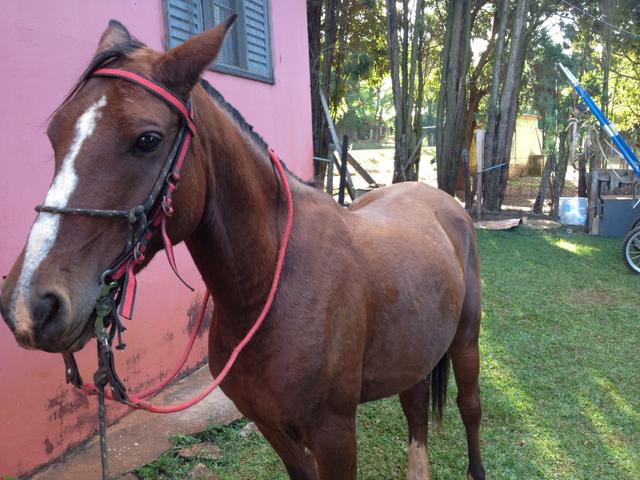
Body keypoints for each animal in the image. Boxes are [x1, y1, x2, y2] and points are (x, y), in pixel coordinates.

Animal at [0, 19, 485, 480]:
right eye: (54, 134)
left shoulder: (335, 434)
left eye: (148, 139)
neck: (270, 287)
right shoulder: (271, 425)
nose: (31, 306)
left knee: (470, 408)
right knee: (416, 406)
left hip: (466, 339)